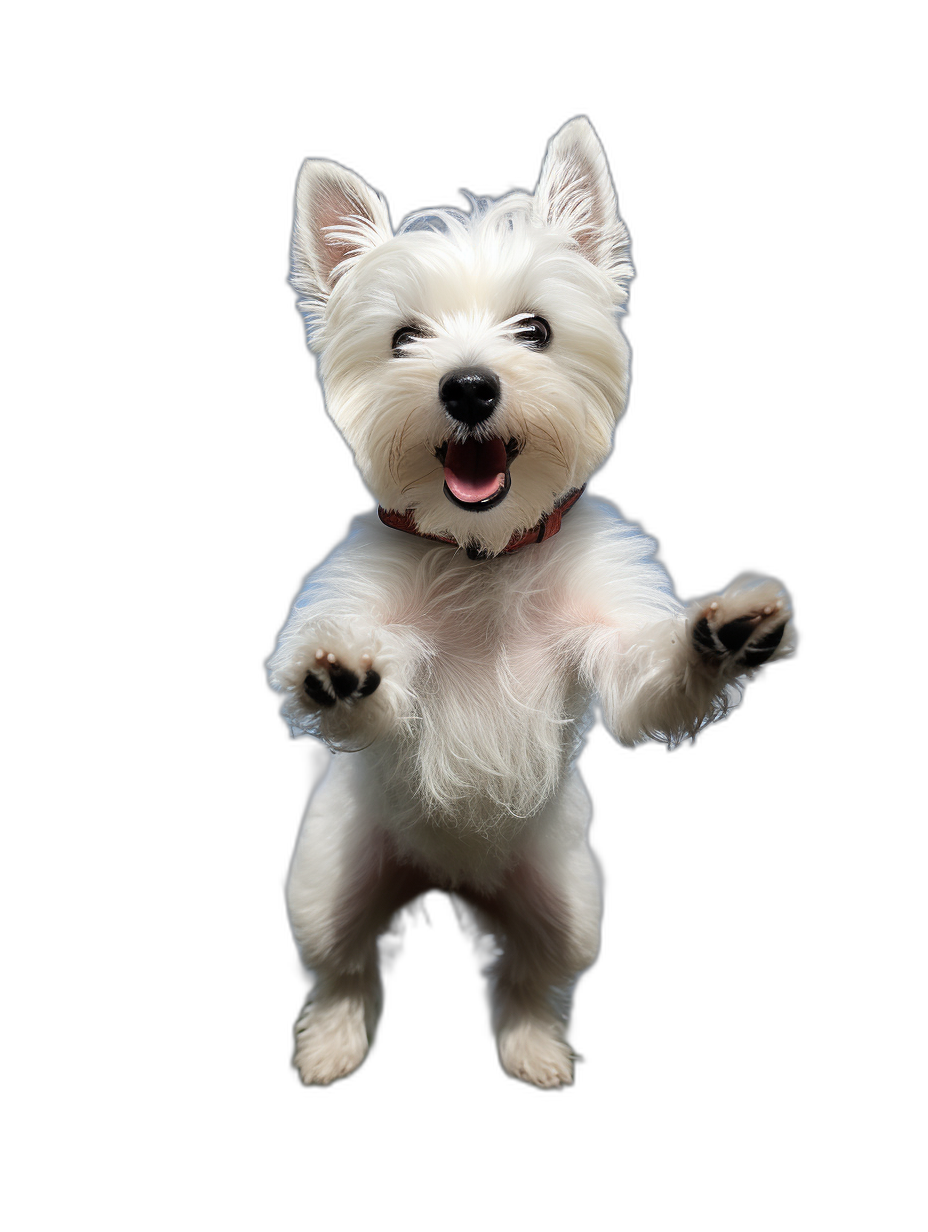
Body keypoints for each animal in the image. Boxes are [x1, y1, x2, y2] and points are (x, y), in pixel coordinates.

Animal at [263, 120, 793, 1094]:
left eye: (535, 329)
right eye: (404, 338)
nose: (469, 388)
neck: (484, 555)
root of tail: (449, 877)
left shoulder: (614, 651)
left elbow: (650, 682)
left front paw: (722, 633)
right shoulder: (386, 654)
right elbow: (367, 689)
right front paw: (337, 671)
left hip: (569, 903)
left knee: (530, 981)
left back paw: (536, 1052)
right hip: (325, 885)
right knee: (346, 971)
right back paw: (331, 1045)